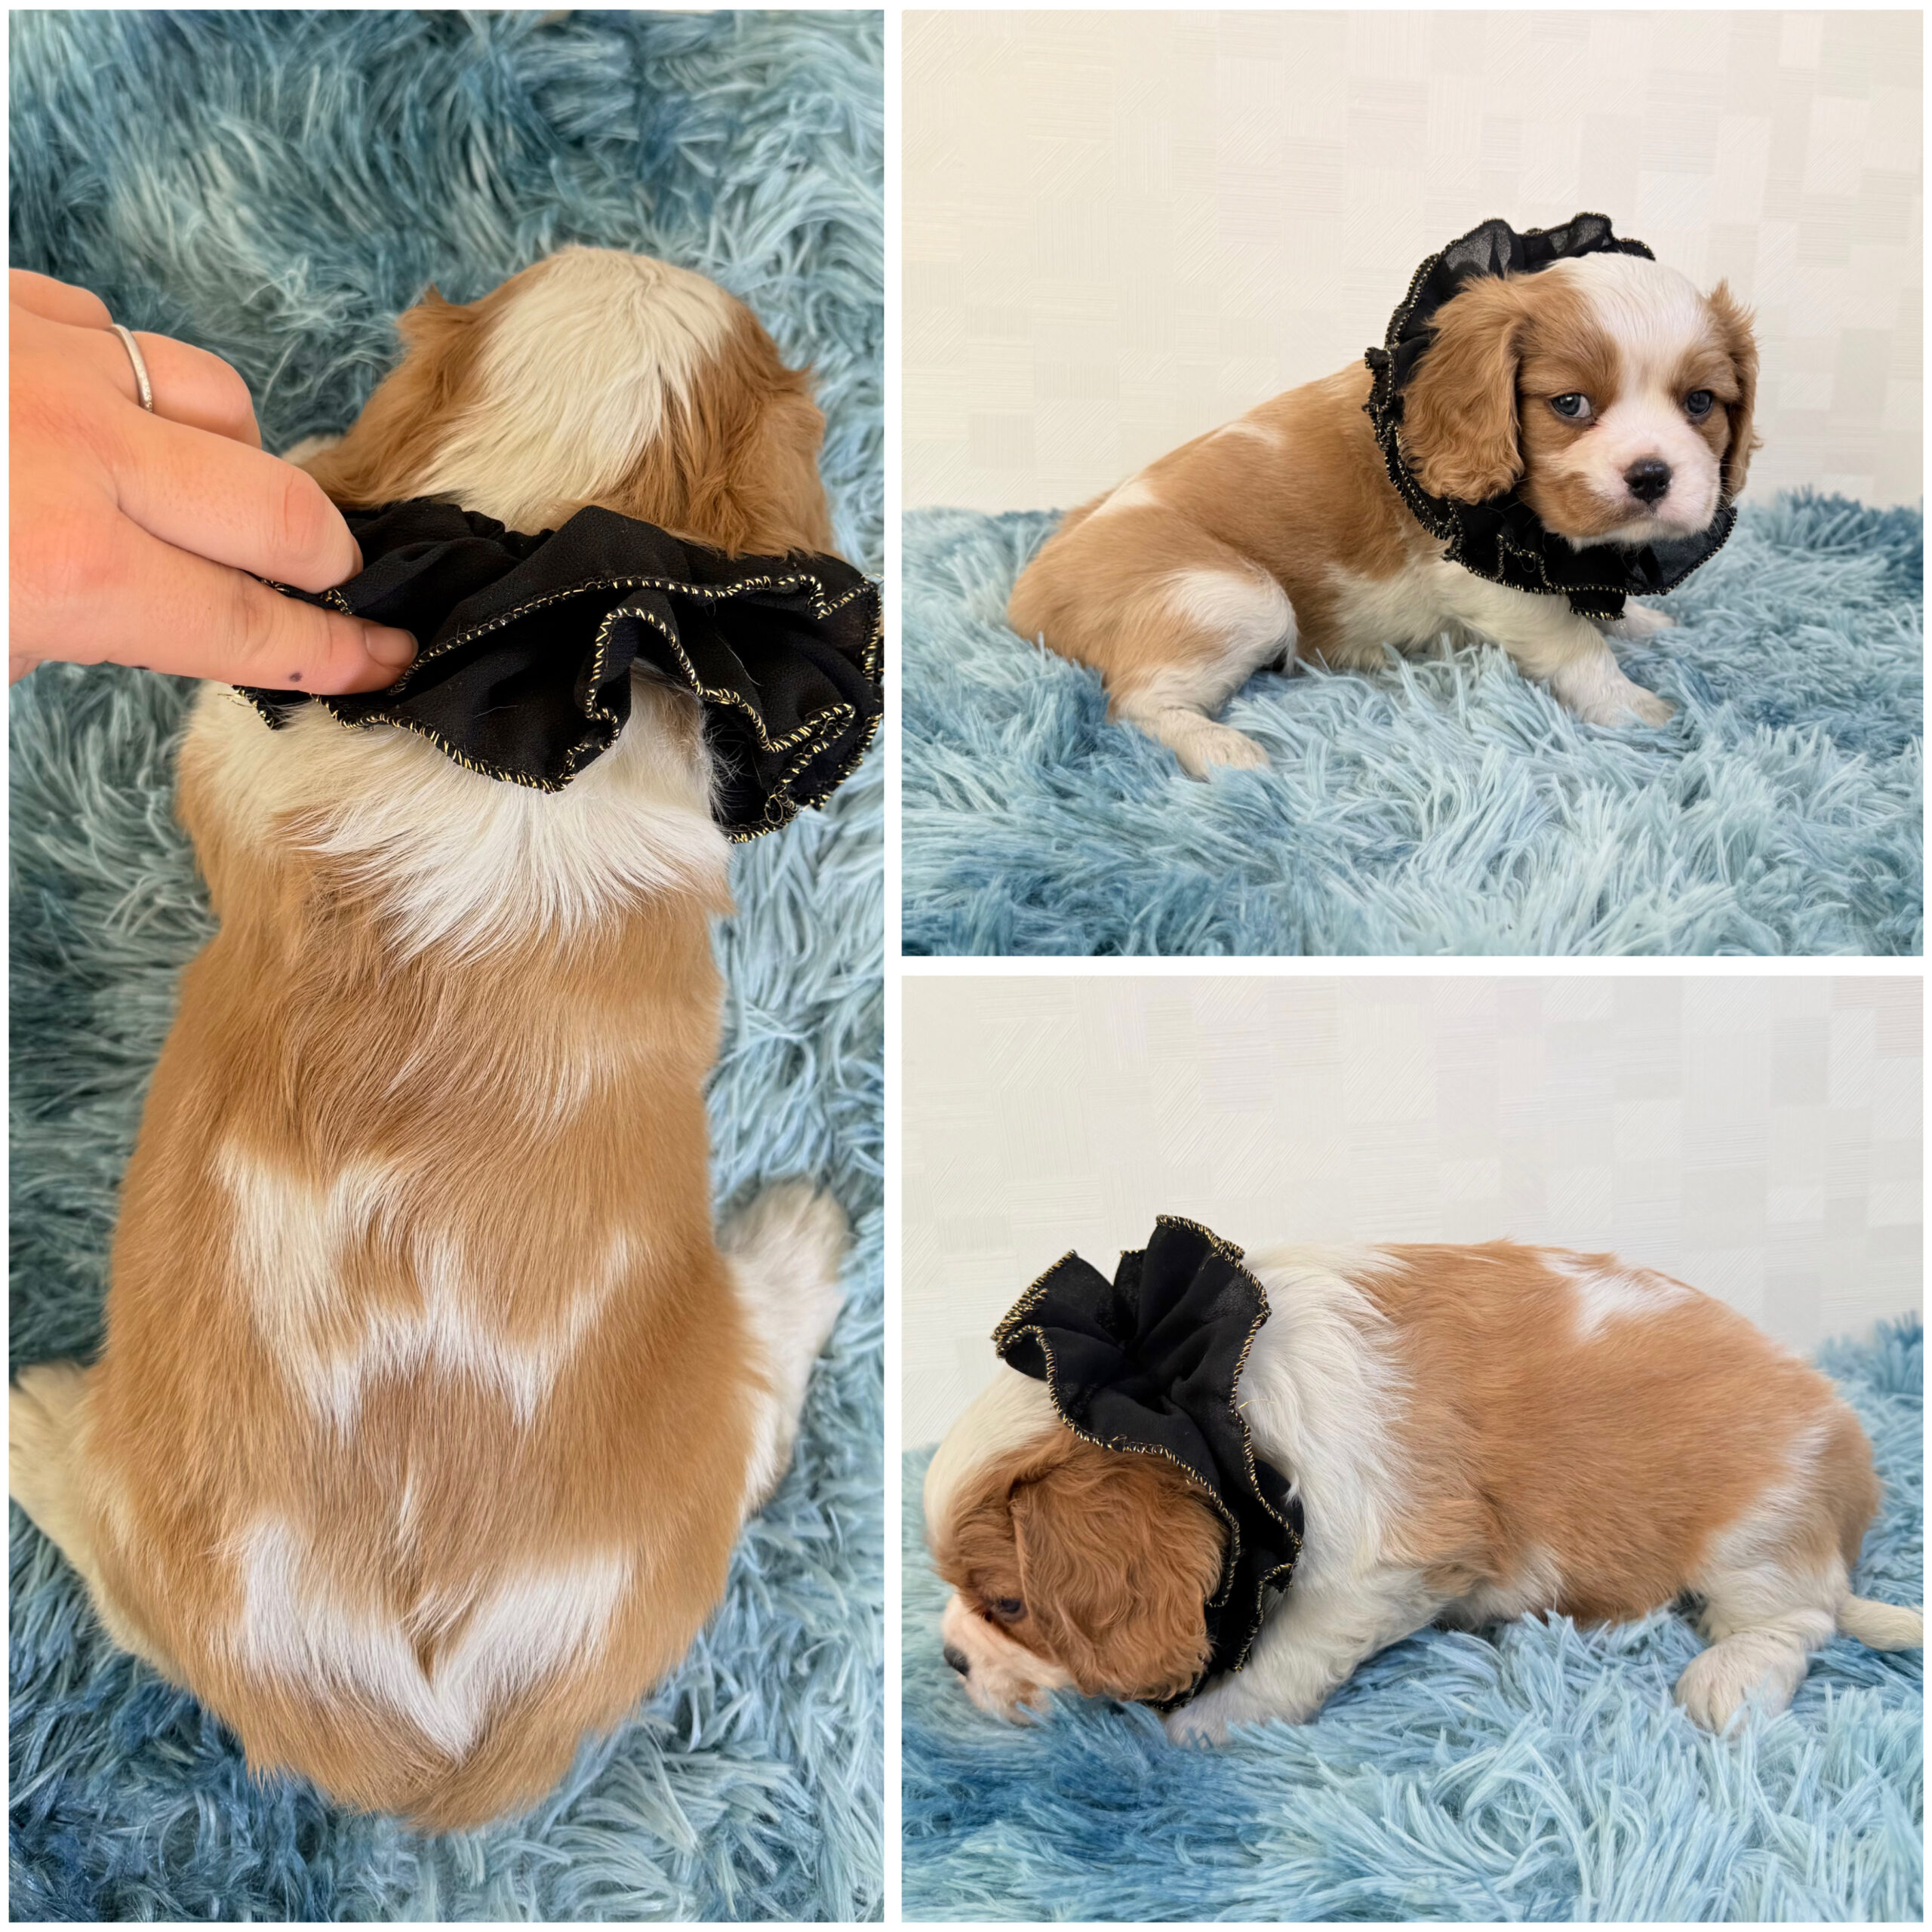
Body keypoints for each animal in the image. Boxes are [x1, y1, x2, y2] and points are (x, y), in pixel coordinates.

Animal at [926, 1240, 1919, 1743]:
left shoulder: (1379, 1567)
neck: (1219, 1403)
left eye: (1009, 1604)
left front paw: (1206, 1722)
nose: (950, 1659)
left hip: (1753, 1532)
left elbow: (1288, 1652)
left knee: (1797, 1620)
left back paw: (1728, 1677)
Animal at [1008, 249, 1758, 775]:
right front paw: (1627, 703)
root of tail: (1030, 591)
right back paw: (1223, 752)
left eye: (1700, 403)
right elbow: (1575, 642)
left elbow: (1594, 600)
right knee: (1133, 703)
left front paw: (1638, 622)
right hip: (1229, 594)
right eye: (1570, 405)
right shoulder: (1480, 575)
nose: (1653, 475)